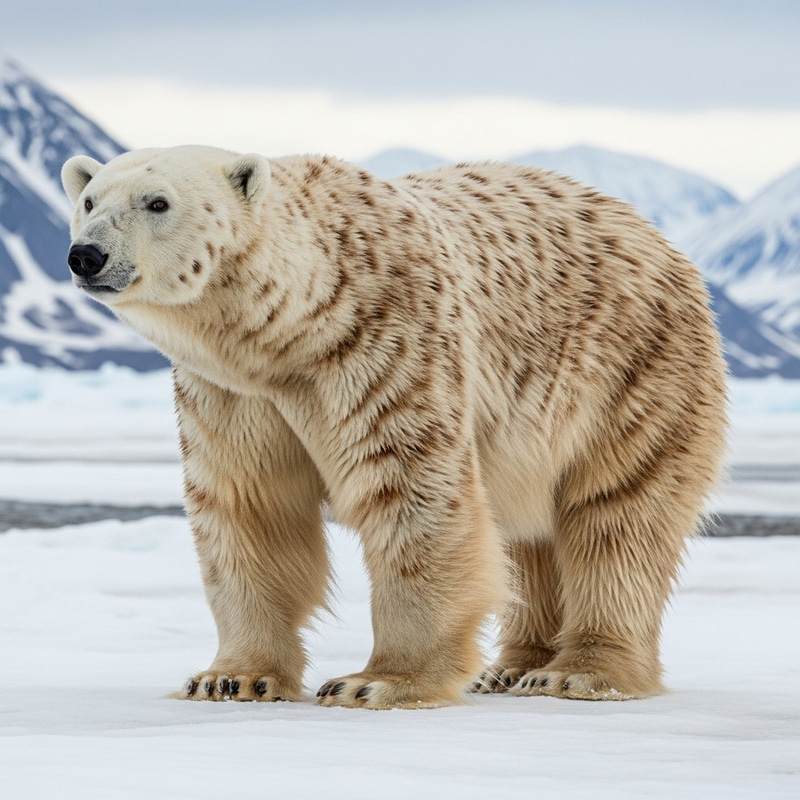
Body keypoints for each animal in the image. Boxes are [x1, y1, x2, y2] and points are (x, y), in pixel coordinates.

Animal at [61, 146, 728, 708]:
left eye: (157, 202)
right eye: (90, 200)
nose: (85, 255)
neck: (295, 326)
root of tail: (657, 237)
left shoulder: (387, 342)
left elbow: (411, 491)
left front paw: (376, 682)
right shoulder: (234, 394)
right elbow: (249, 505)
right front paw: (229, 678)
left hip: (630, 372)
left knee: (618, 518)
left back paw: (580, 672)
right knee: (530, 534)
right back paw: (513, 666)